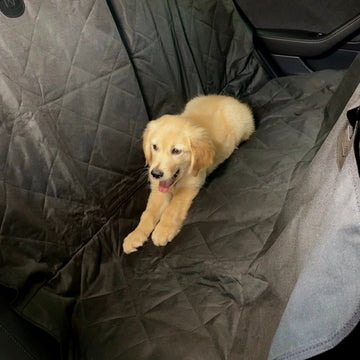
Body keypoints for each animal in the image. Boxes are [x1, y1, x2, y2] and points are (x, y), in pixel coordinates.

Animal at [122, 95, 255, 253]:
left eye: (176, 151)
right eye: (155, 147)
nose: (155, 174)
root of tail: (230, 99)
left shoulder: (190, 185)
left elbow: (173, 208)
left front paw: (163, 230)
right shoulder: (158, 188)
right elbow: (148, 212)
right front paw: (135, 235)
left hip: (243, 126)